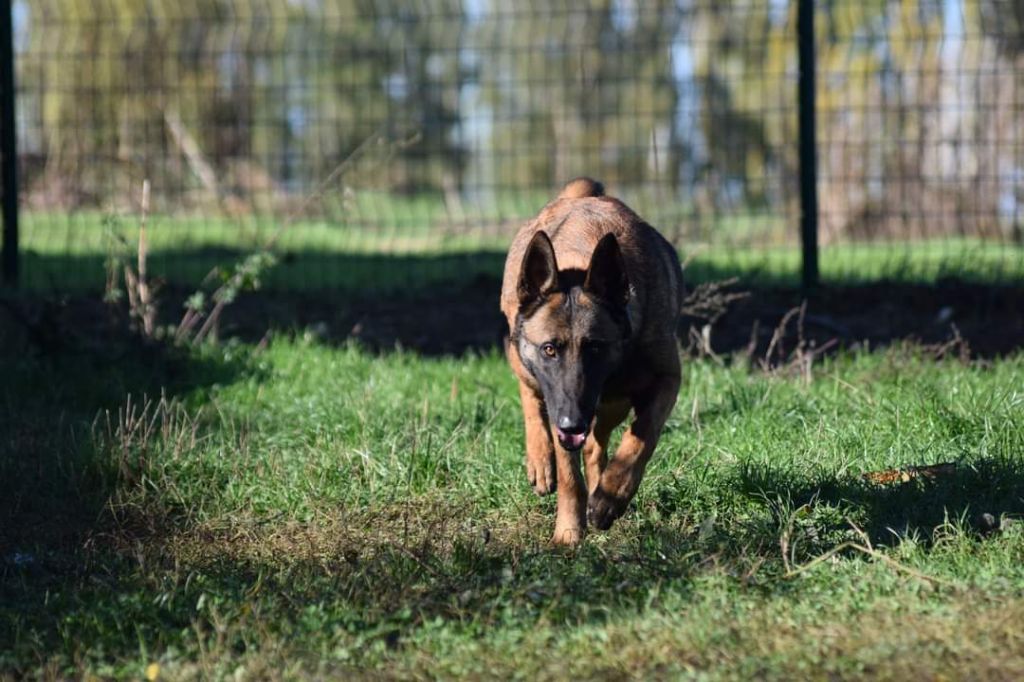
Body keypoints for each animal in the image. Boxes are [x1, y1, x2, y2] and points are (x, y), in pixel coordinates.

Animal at [499, 178, 684, 544]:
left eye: (595, 348)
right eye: (549, 350)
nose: (572, 424)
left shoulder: (667, 379)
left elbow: (642, 435)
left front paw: (610, 498)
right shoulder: (560, 405)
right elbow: (569, 475)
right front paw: (568, 532)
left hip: (613, 404)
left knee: (597, 446)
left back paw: (600, 486)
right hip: (523, 361)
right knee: (531, 398)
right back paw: (540, 460)